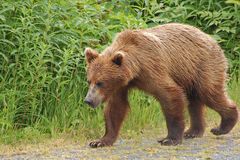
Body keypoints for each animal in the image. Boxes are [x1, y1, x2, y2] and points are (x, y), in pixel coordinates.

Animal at [84, 22, 238, 148]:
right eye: (89, 81)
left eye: (100, 82)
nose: (88, 100)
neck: (135, 70)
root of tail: (212, 39)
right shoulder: (120, 85)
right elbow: (116, 108)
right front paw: (100, 141)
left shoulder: (152, 68)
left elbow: (170, 94)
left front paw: (170, 139)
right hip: (189, 74)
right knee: (194, 101)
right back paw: (193, 131)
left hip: (204, 65)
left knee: (210, 93)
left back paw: (222, 126)